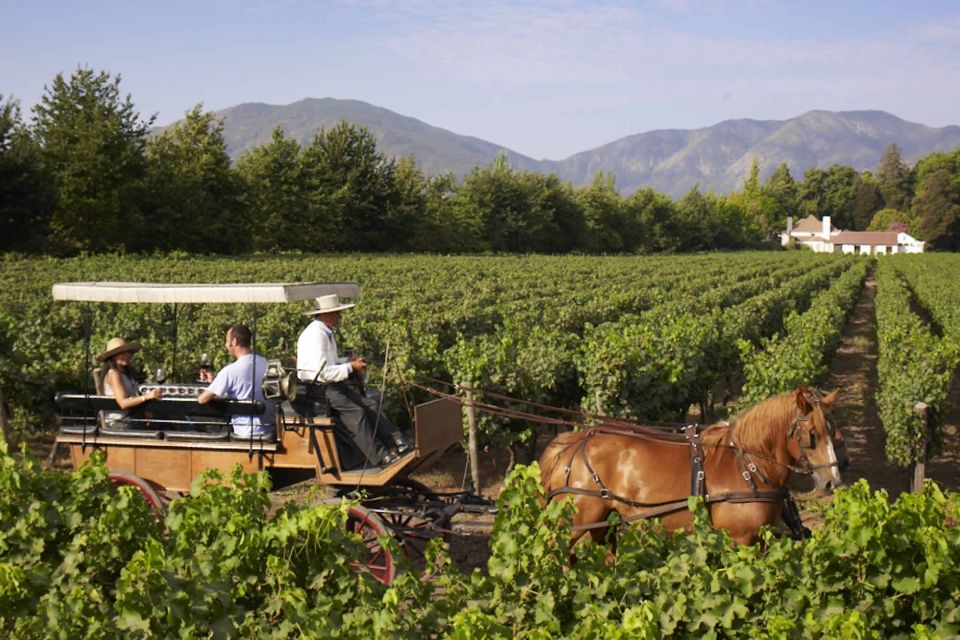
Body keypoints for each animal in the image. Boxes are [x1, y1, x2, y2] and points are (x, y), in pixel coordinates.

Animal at [540, 384, 848, 544]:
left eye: (834, 431)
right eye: (811, 435)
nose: (832, 482)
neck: (749, 467)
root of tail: (572, 442)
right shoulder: (742, 539)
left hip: (602, 522)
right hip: (579, 521)